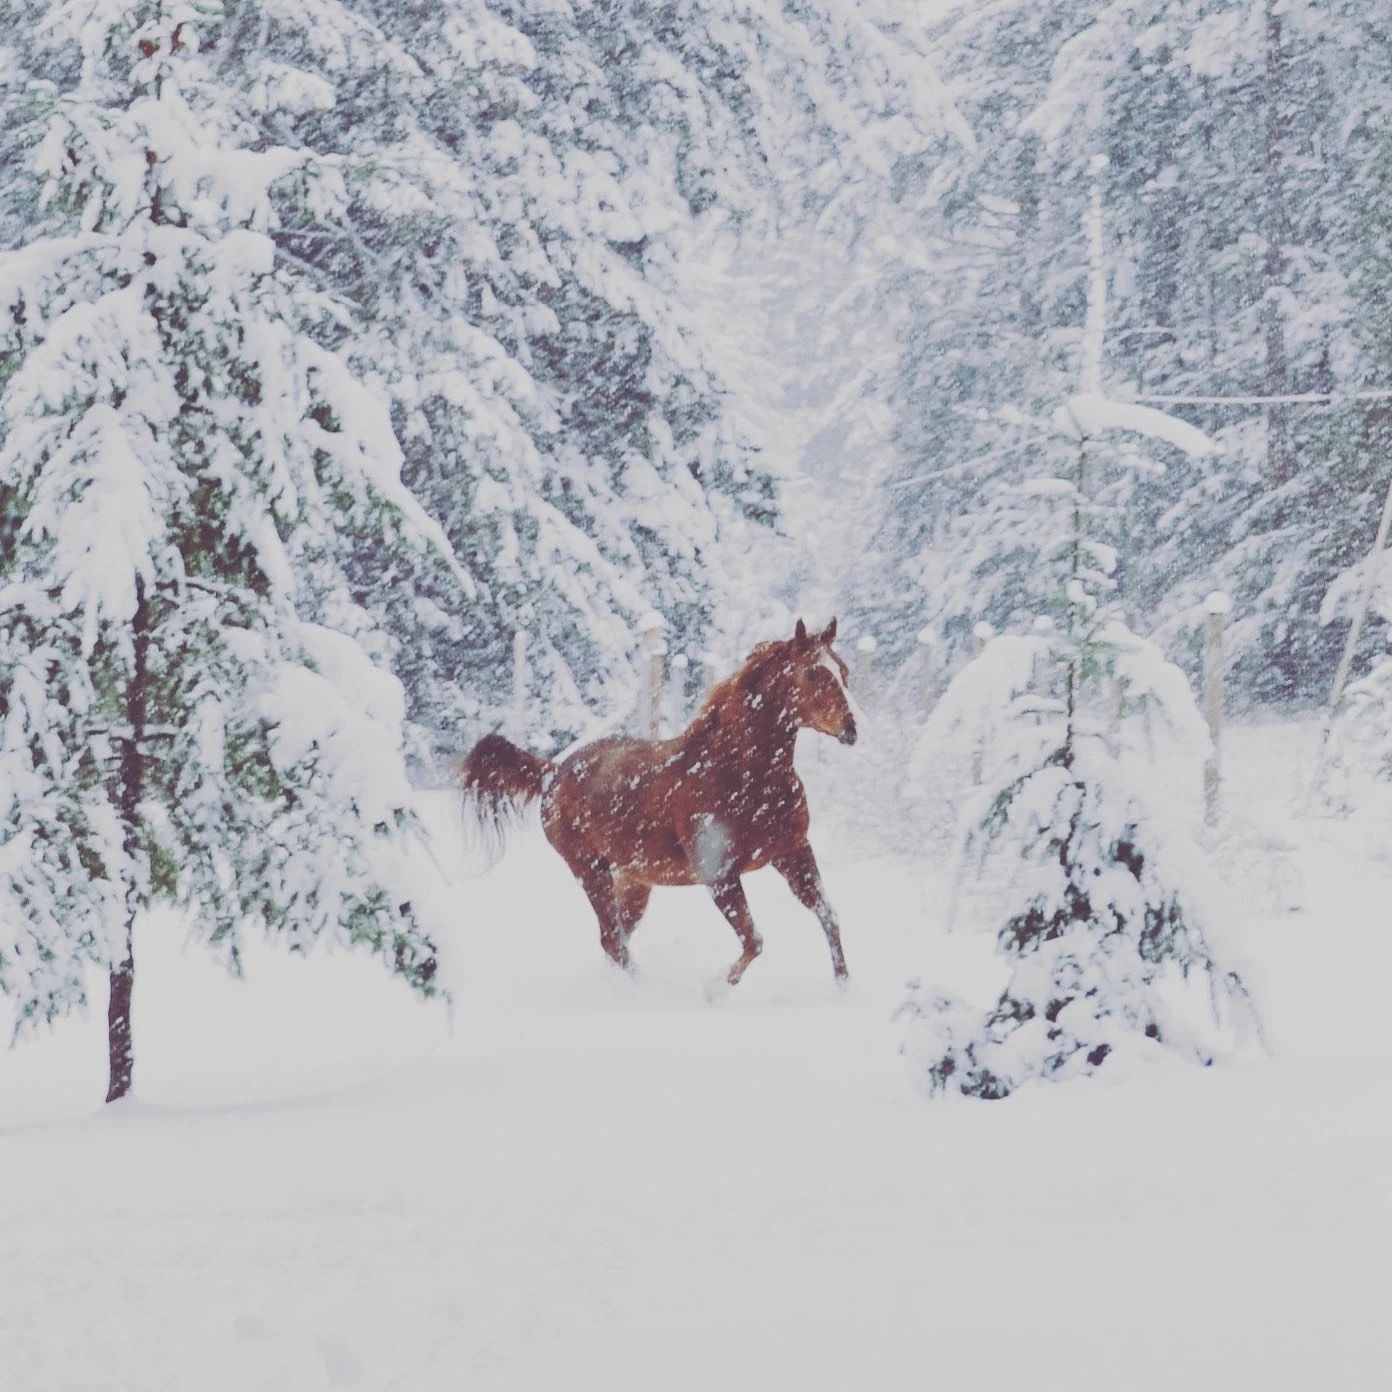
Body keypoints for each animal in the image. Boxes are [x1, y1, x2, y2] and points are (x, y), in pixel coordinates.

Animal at [456, 618, 858, 989]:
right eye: (813, 673)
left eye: (844, 671)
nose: (851, 729)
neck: (743, 775)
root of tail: (552, 773)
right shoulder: (719, 875)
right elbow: (753, 940)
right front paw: (714, 991)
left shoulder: (792, 851)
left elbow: (829, 915)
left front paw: (843, 987)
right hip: (589, 870)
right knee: (613, 941)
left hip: (635, 880)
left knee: (616, 940)